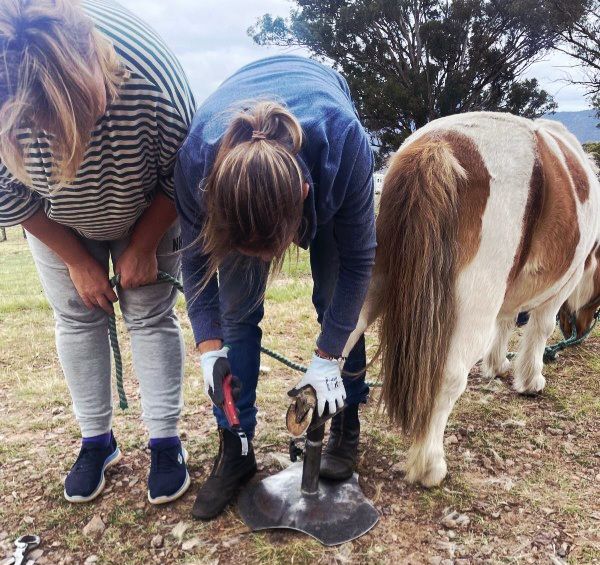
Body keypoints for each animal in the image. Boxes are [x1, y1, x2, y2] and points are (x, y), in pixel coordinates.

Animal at [343, 111, 600, 487]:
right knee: (448, 378)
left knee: (339, 341)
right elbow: (539, 329)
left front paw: (497, 365)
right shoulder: (559, 289)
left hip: (373, 277)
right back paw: (430, 465)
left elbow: (506, 321)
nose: (579, 329)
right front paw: (530, 380)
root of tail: (439, 145)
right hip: (470, 310)